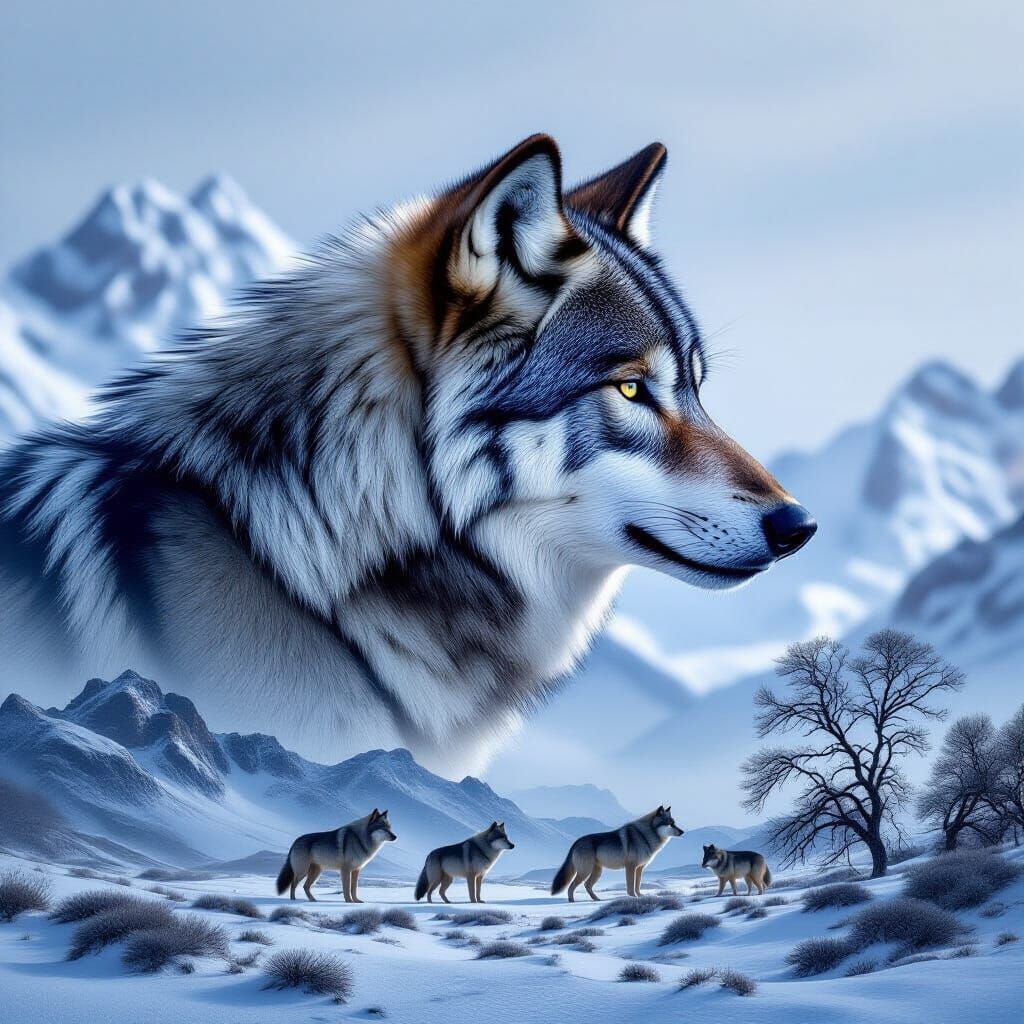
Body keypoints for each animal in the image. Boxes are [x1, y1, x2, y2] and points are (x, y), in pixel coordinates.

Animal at [551, 806, 683, 901]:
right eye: (670, 824)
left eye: (674, 822)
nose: (682, 831)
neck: (645, 835)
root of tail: (576, 842)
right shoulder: (631, 867)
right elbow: (630, 887)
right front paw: (633, 898)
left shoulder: (640, 868)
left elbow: (637, 886)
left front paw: (640, 897)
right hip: (585, 872)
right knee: (571, 886)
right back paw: (572, 902)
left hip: (597, 872)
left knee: (587, 885)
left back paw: (597, 900)